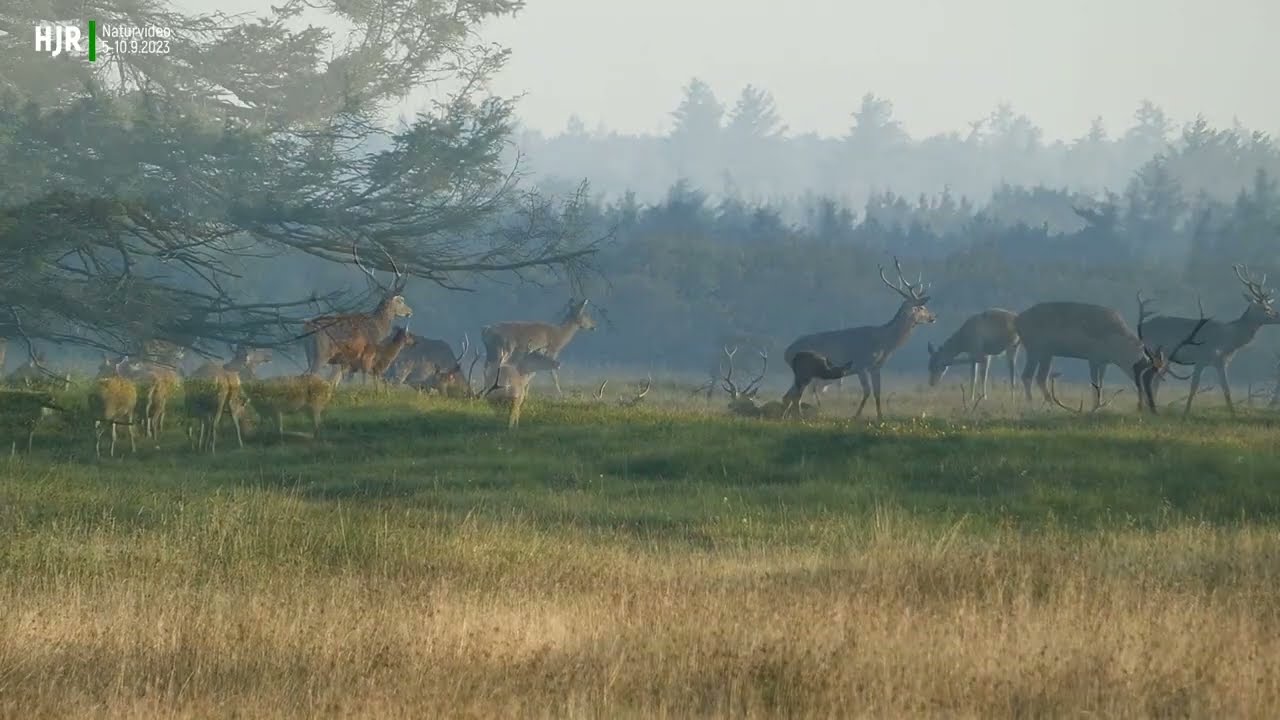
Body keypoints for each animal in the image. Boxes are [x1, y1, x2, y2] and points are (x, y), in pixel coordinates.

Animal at [302, 243, 412, 384]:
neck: (378, 329)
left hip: (309, 352)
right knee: (310, 374)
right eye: (400, 300)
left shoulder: (346, 361)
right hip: (322, 353)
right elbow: (362, 382)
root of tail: (307, 327)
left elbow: (335, 383)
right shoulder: (367, 355)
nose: (410, 311)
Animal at [783, 257, 936, 421]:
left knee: (789, 396)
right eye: (921, 308)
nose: (933, 317)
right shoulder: (861, 365)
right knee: (793, 396)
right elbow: (867, 391)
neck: (885, 342)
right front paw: (856, 416)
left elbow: (877, 392)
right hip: (806, 372)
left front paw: (880, 417)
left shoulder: (876, 367)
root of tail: (787, 352)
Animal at [1015, 295, 1209, 414]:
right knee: (1027, 376)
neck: (1117, 346)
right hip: (1036, 347)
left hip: (1047, 352)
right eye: (1147, 377)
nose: (1150, 403)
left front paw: (1098, 406)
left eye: (1157, 379)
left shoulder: (1104, 362)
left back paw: (1050, 405)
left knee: (1040, 377)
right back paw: (1032, 407)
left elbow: (1100, 382)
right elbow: (1095, 384)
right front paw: (1094, 407)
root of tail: (1017, 320)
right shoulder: (1093, 357)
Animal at [1138, 265, 1279, 417]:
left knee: (1155, 378)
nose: (1277, 315)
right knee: (1147, 376)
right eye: (1266, 308)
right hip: (1155, 351)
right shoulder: (1201, 358)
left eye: (1269, 307)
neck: (1228, 339)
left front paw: (1234, 415)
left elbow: (1226, 389)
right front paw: (1186, 413)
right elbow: (1194, 387)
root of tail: (1142, 326)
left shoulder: (1222, 362)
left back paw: (1150, 409)